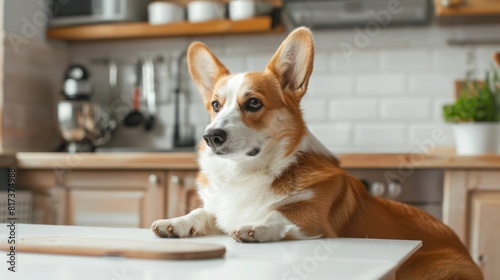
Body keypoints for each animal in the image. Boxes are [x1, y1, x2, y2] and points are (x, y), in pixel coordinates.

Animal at [150, 26, 482, 280]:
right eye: (216, 105)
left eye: (254, 103)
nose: (210, 137)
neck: (245, 172)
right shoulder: (218, 207)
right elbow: (201, 211)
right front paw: (175, 222)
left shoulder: (314, 216)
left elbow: (278, 213)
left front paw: (255, 226)